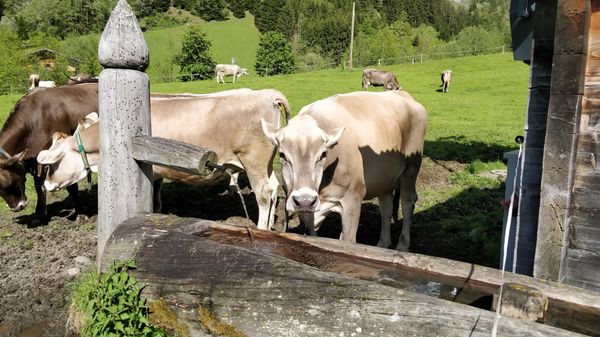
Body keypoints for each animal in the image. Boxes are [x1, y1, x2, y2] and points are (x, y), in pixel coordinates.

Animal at [0, 83, 98, 220]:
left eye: (10, 184)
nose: (18, 207)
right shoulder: (34, 161)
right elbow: (39, 187)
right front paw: (39, 214)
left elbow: (71, 186)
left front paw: (80, 212)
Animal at [37, 88, 290, 230]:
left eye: (53, 164)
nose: (46, 185)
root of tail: (268, 94)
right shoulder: (157, 170)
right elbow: (157, 194)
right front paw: (159, 212)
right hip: (266, 163)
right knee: (274, 186)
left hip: (253, 160)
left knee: (264, 193)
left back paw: (262, 228)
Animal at [258, 89, 426, 249]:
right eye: (282, 155)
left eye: (323, 154)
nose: (305, 200)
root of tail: (404, 95)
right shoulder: (308, 214)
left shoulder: (353, 200)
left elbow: (347, 240)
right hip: (385, 178)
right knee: (386, 207)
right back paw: (383, 244)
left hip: (411, 168)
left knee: (408, 201)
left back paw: (402, 245)